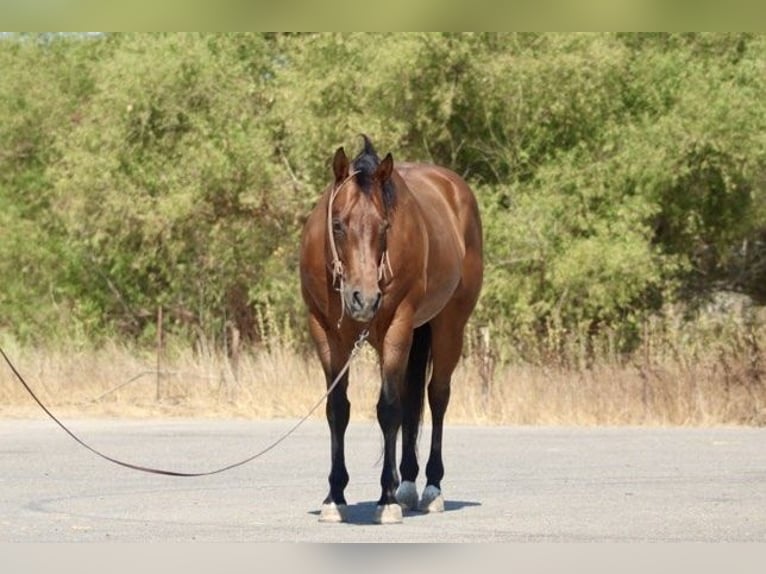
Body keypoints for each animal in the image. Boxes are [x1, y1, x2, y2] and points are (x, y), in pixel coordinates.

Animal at [299, 135, 483, 524]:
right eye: (337, 224)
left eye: (385, 227)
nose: (364, 299)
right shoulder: (324, 332)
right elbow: (338, 409)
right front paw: (335, 496)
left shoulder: (397, 326)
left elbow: (387, 409)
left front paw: (386, 500)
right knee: (412, 399)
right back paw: (408, 483)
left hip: (448, 326)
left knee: (436, 396)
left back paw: (431, 488)